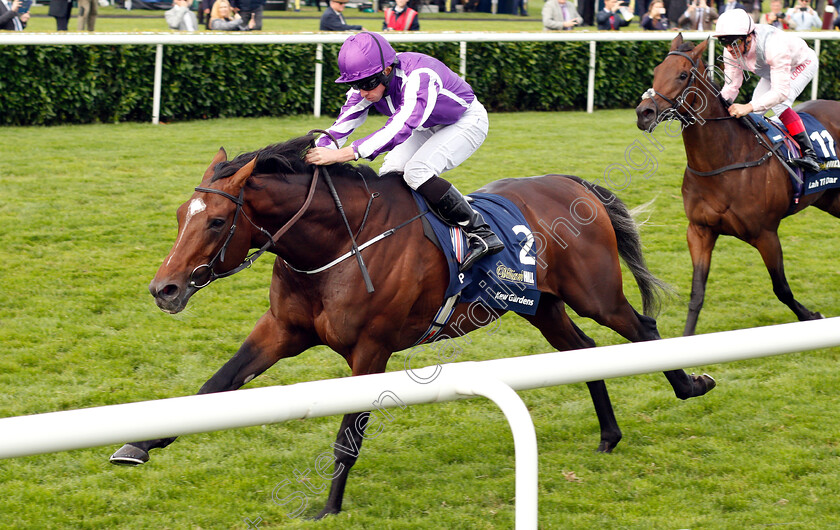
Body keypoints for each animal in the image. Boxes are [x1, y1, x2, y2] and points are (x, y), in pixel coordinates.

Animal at [106, 133, 716, 516]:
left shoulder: (371, 350)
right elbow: (217, 384)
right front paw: (136, 445)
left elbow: (347, 434)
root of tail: (573, 183)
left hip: (595, 293)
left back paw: (690, 384)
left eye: (215, 221)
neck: (335, 244)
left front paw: (328, 506)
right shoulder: (281, 330)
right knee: (583, 351)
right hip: (542, 305)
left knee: (642, 329)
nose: (164, 289)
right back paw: (609, 434)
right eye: (179, 216)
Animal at [636, 35, 840, 336]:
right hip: (830, 199)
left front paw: (812, 315)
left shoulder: (766, 234)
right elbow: (696, 295)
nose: (644, 113)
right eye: (656, 71)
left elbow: (782, 289)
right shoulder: (699, 231)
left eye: (683, 75)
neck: (725, 160)